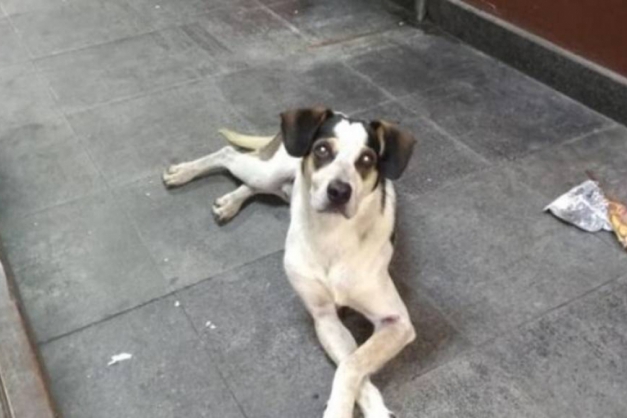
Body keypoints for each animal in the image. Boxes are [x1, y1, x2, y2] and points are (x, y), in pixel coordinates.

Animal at [163, 107, 418, 418]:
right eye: (322, 150)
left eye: (367, 159)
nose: (339, 191)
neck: (332, 234)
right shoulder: (324, 316)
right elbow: (350, 363)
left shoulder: (396, 322)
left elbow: (352, 363)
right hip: (269, 170)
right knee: (229, 154)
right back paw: (184, 172)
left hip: (277, 184)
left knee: (251, 181)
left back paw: (230, 202)